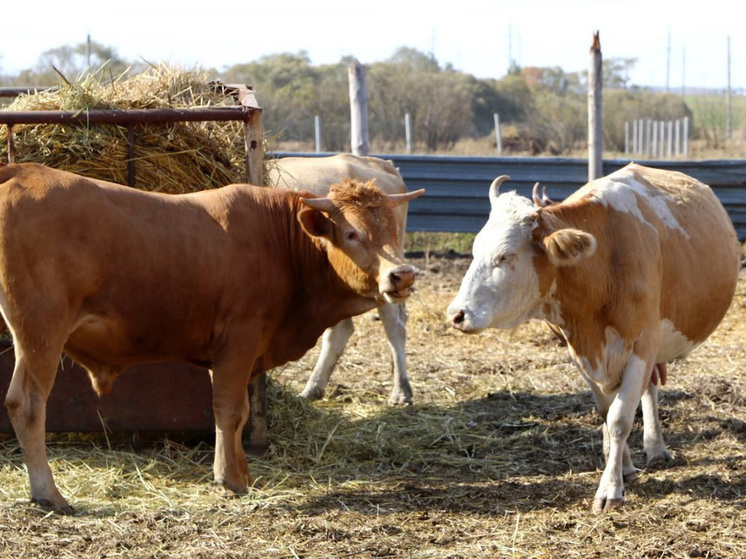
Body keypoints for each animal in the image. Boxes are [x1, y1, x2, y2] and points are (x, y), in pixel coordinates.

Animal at [266, 154, 418, 402]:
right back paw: (313, 388)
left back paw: (401, 390)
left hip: (386, 287)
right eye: (351, 234)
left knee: (394, 326)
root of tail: (382, 164)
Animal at [444, 163, 736, 512]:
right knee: (649, 389)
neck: (602, 264)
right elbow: (606, 412)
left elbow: (620, 418)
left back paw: (655, 448)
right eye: (475, 251)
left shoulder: (643, 342)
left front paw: (610, 489)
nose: (456, 314)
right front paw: (623, 467)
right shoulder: (580, 350)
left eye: (505, 256)